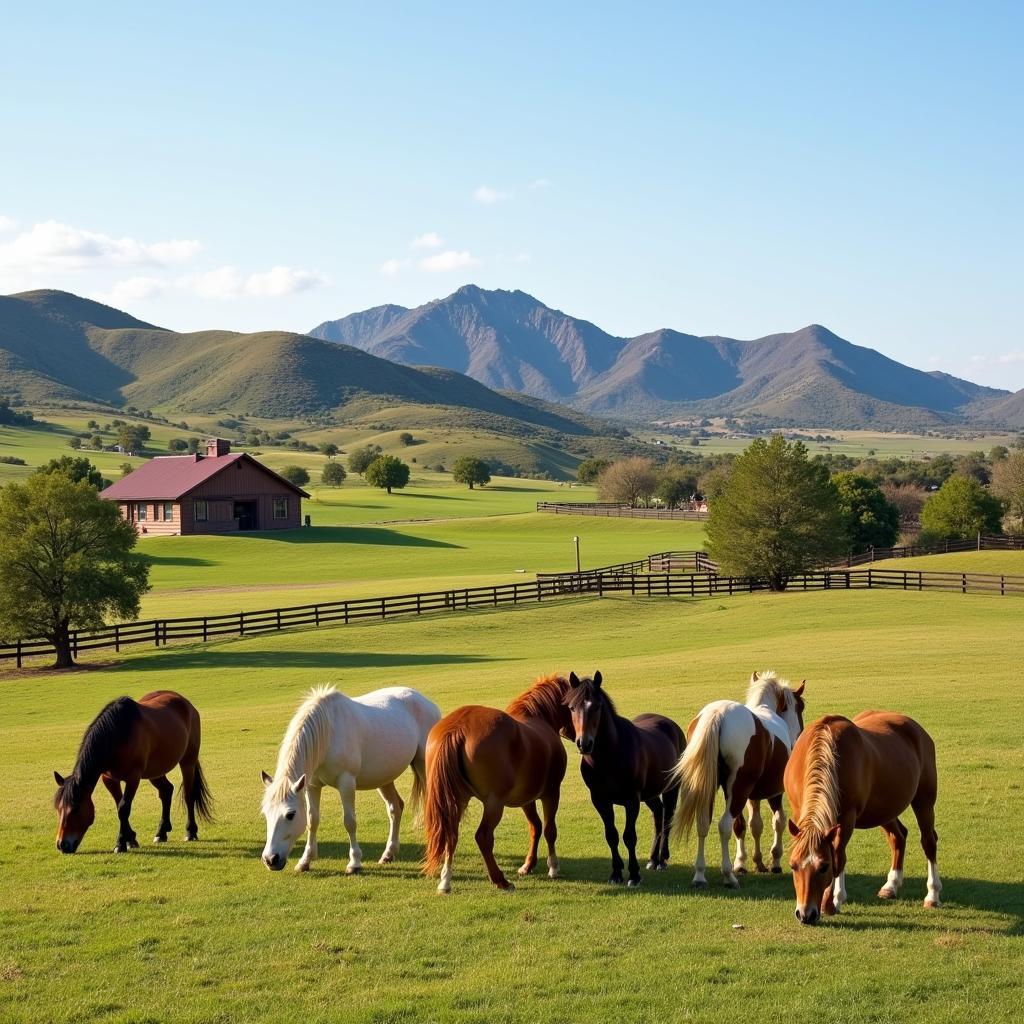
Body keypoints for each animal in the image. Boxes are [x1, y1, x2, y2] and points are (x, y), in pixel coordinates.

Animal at [54, 688, 211, 856]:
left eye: (75, 809)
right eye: (58, 809)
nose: (62, 845)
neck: (118, 734)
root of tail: (185, 702)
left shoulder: (133, 778)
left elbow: (124, 808)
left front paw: (120, 843)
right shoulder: (109, 779)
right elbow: (120, 806)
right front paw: (131, 839)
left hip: (188, 761)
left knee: (188, 795)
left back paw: (190, 832)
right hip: (154, 770)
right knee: (166, 791)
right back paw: (161, 832)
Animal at [419, 671, 573, 888]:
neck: (537, 719)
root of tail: (458, 728)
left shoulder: (527, 799)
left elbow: (535, 827)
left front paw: (528, 865)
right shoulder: (551, 792)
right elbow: (549, 829)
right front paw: (553, 867)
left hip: (455, 799)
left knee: (451, 833)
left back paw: (446, 881)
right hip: (494, 803)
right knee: (483, 837)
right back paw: (500, 879)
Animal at [565, 671, 684, 888]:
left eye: (597, 706)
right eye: (571, 707)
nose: (584, 744)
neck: (609, 756)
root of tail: (670, 724)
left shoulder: (631, 800)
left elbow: (629, 837)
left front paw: (634, 874)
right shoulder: (600, 800)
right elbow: (611, 835)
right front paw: (616, 873)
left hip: (671, 788)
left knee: (667, 818)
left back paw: (662, 859)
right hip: (650, 794)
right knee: (658, 814)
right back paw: (653, 859)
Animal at [671, 671, 806, 888]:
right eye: (800, 707)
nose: (799, 734)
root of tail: (718, 714)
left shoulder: (751, 794)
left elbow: (751, 825)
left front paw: (749, 862)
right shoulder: (774, 791)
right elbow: (778, 821)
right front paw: (774, 861)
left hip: (717, 788)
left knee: (704, 822)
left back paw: (700, 874)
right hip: (739, 789)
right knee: (724, 825)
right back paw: (728, 876)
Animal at [782, 708, 942, 925]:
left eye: (824, 866)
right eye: (793, 865)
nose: (805, 915)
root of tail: (914, 726)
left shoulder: (846, 820)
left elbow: (839, 857)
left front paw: (832, 902)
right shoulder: (799, 813)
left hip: (924, 800)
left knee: (928, 842)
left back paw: (932, 895)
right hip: (883, 810)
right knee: (898, 837)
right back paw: (891, 885)